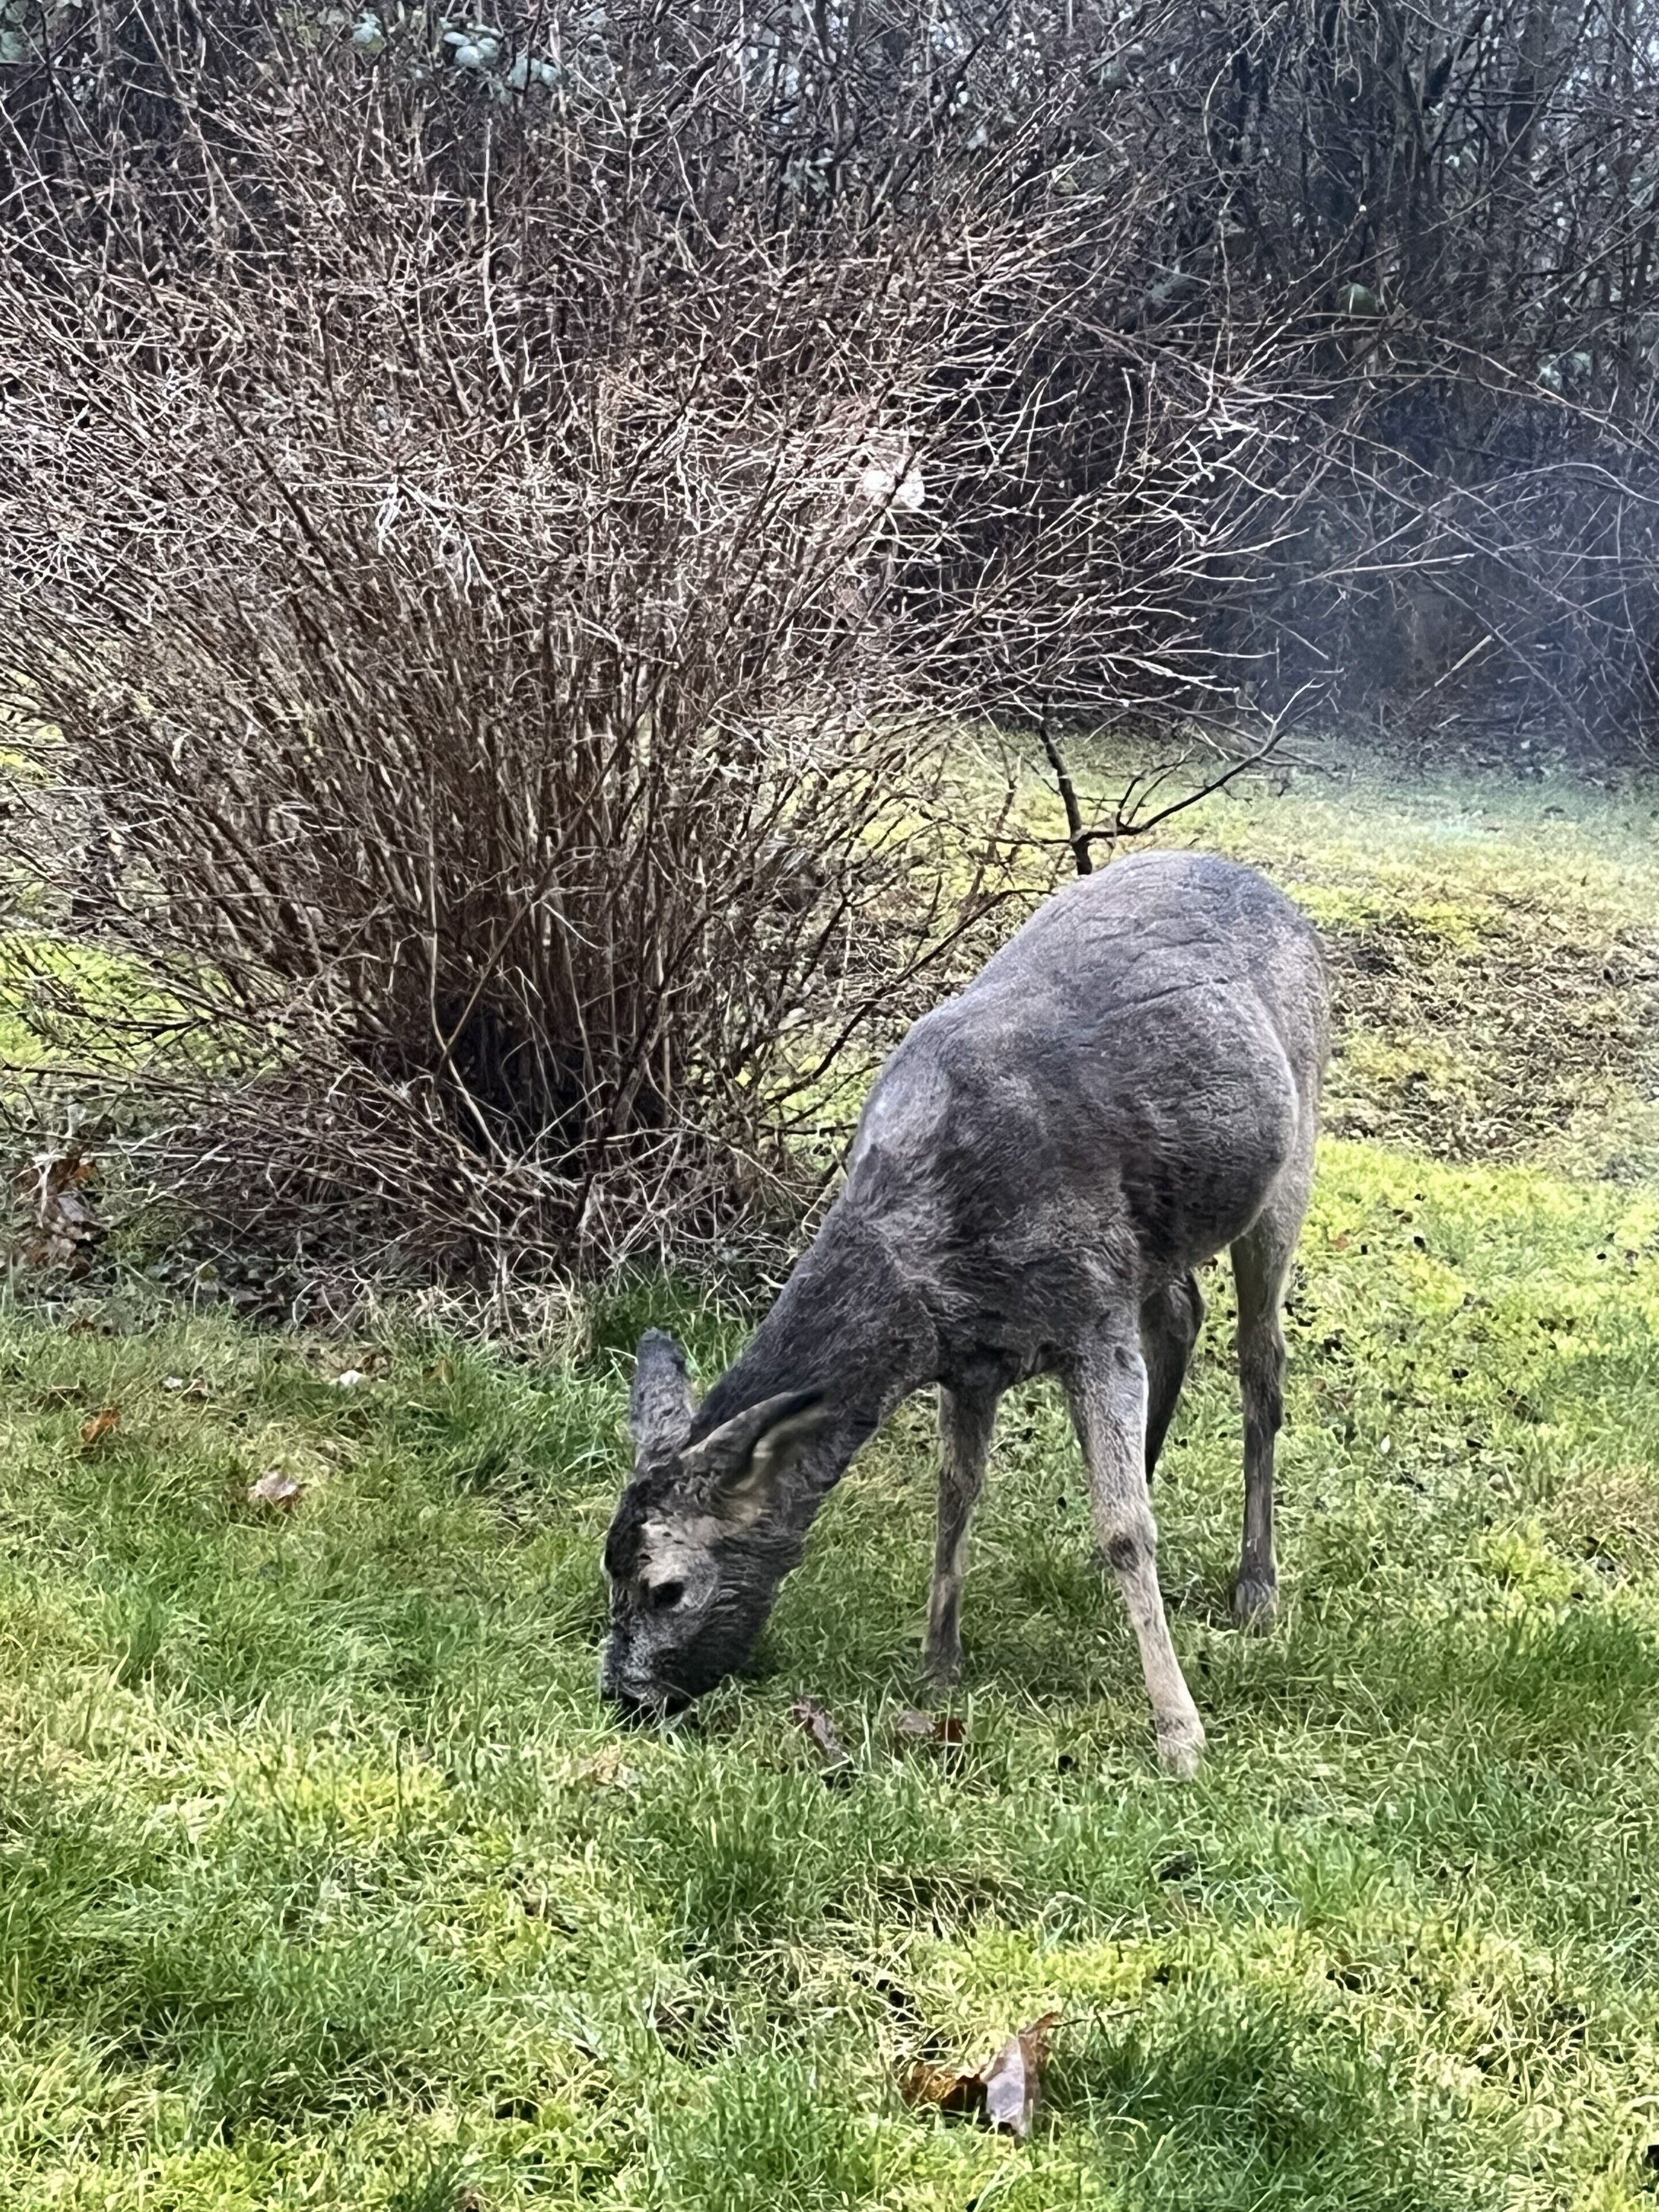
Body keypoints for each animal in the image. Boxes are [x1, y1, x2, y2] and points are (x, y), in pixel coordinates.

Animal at [601, 851, 1328, 1773]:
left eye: (668, 1589)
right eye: (606, 1571)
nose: (625, 1697)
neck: (934, 1249)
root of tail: (1278, 895)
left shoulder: (1090, 1308)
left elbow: (1125, 1527)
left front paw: (1180, 1733)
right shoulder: (972, 1356)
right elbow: (956, 1491)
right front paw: (938, 1667)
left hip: (1293, 1159)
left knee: (1262, 1365)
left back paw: (1257, 1588)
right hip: (1156, 1241)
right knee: (1181, 1315)